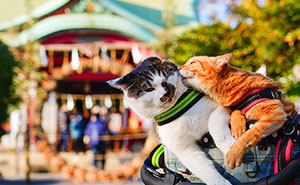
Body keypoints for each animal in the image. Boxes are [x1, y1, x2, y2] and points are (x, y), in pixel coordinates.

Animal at [108, 56, 237, 185]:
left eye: (166, 76)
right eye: (149, 89)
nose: (166, 92)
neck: (178, 109)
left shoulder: (220, 107)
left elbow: (215, 127)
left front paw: (230, 149)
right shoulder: (184, 149)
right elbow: (202, 168)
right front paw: (221, 182)